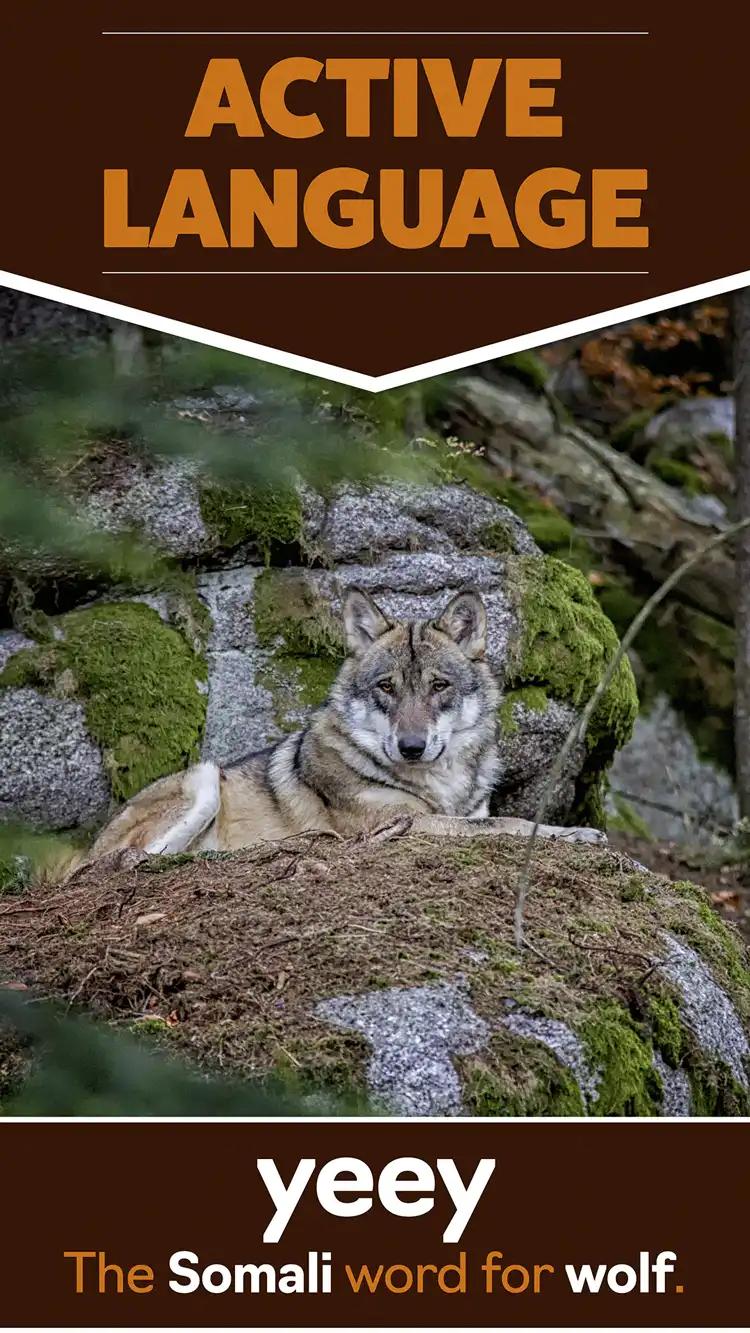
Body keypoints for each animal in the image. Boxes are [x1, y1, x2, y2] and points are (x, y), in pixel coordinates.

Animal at [85, 586, 603, 863]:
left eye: (438, 686)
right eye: (386, 687)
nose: (411, 747)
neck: (438, 787)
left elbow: (499, 821)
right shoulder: (401, 823)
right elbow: (509, 824)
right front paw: (576, 835)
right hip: (205, 779)